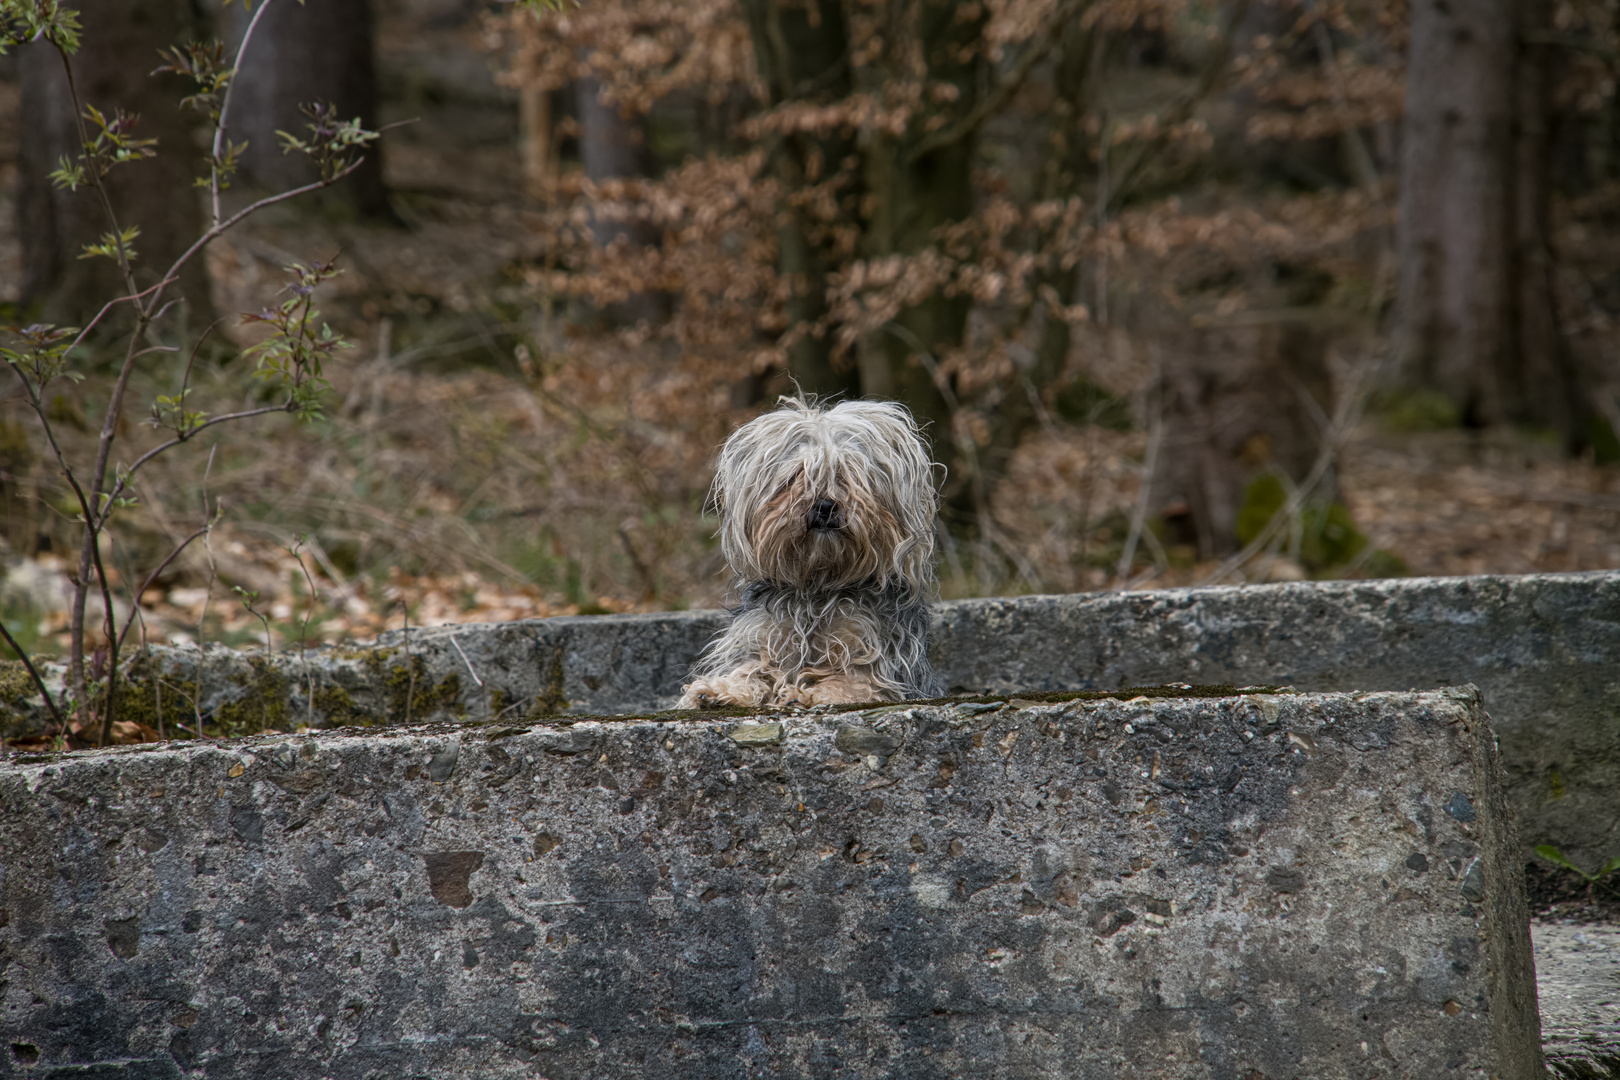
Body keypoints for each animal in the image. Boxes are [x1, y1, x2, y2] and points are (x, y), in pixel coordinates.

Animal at [677, 396, 946, 709]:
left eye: (848, 475)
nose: (825, 505)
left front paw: (810, 693)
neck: (818, 585)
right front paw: (720, 690)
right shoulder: (762, 636)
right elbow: (750, 669)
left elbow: (857, 682)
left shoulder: (879, 654)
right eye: (796, 476)